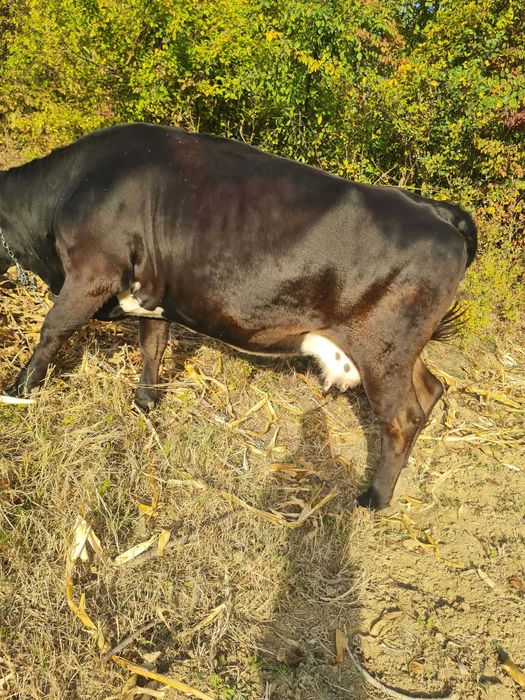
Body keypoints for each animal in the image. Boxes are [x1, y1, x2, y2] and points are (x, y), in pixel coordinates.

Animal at [0, 123, 477, 508]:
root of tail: (437, 211)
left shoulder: (91, 273)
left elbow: (53, 330)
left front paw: (18, 390)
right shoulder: (153, 291)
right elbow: (153, 345)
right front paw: (145, 403)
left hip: (382, 349)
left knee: (402, 416)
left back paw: (375, 498)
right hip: (401, 350)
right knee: (431, 390)